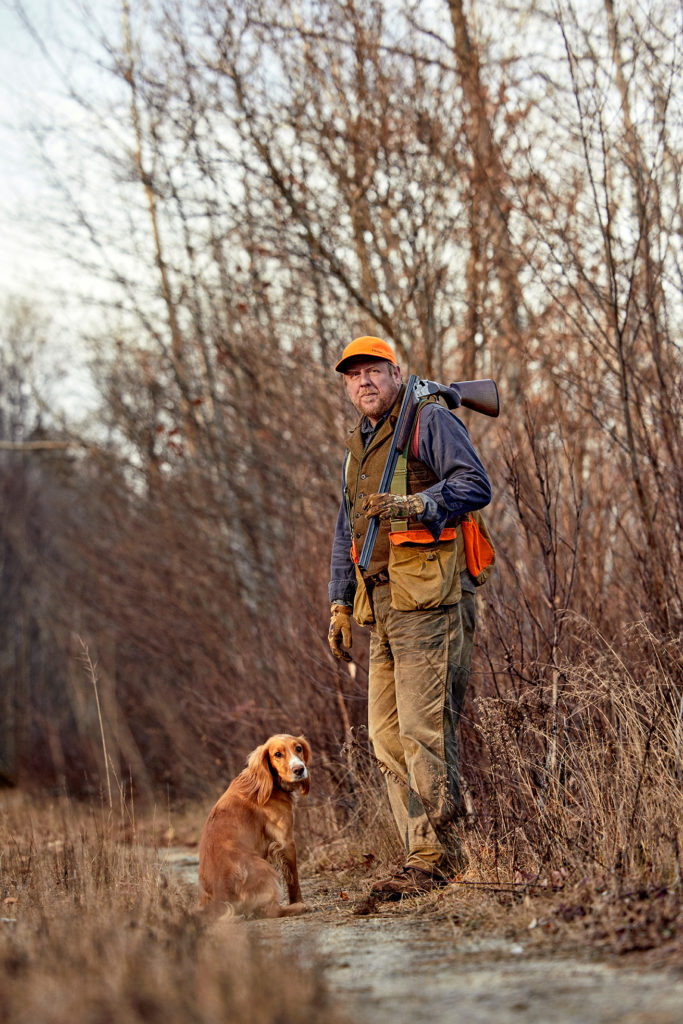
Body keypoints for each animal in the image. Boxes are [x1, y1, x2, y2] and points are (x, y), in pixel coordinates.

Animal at [197, 737, 313, 921]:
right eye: (277, 754)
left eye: (298, 748)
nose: (299, 769)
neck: (266, 784)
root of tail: (218, 901)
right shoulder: (286, 841)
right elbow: (293, 879)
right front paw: (298, 901)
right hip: (264, 868)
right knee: (270, 911)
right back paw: (299, 907)